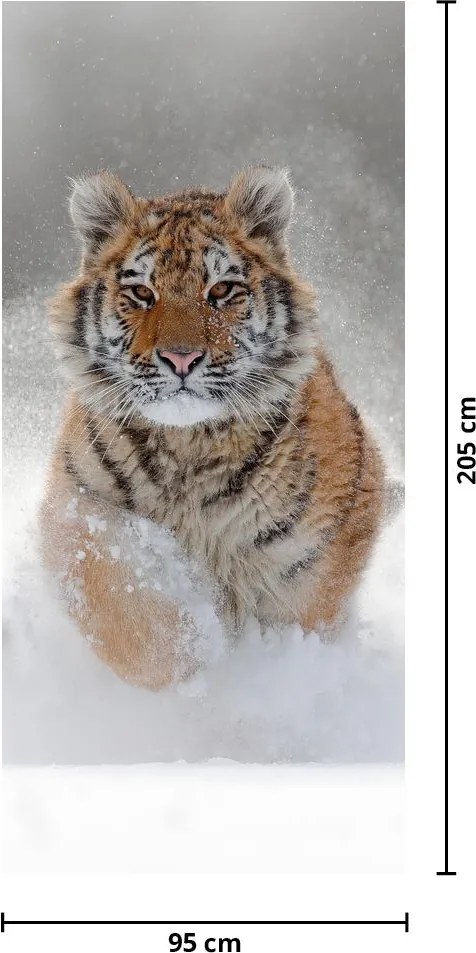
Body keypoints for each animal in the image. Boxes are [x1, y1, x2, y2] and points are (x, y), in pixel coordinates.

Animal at [40, 165, 385, 690]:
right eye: (142, 293)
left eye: (221, 290)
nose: (181, 358)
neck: (189, 447)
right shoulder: (78, 508)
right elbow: (131, 617)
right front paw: (195, 655)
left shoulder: (319, 550)